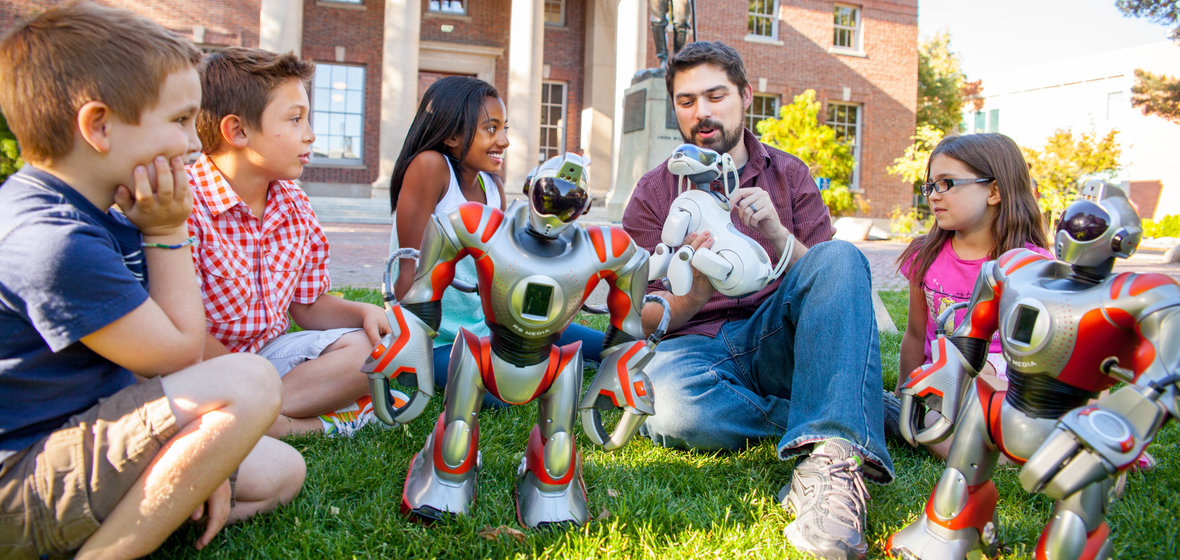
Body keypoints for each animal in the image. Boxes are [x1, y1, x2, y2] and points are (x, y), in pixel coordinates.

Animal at [361, 150, 665, 528]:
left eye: (574, 200)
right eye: (548, 191)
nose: (552, 218)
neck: (543, 244)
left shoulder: (620, 252)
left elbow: (627, 322)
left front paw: (618, 388)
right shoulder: (463, 224)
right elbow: (427, 289)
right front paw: (404, 360)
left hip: (562, 369)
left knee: (557, 439)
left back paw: (553, 512)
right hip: (473, 359)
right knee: (458, 426)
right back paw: (435, 502)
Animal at [646, 144, 792, 300]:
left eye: (707, 156)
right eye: (675, 152)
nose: (677, 156)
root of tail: (766, 275)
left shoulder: (685, 208)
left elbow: (669, 243)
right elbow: (665, 246)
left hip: (729, 260)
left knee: (690, 254)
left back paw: (673, 284)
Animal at [892, 181, 1180, 558]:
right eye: (1080, 220)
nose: (1073, 225)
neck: (1074, 281)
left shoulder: (1148, 296)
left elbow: (1158, 373)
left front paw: (1093, 441)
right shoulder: (1006, 270)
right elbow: (971, 335)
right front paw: (935, 389)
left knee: (1075, 523)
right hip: (987, 413)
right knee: (962, 471)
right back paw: (935, 541)